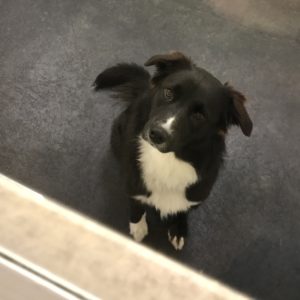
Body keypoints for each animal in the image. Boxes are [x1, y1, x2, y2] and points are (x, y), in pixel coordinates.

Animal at [92, 52, 252, 251]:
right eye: (168, 93)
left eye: (199, 115)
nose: (157, 134)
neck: (168, 160)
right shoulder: (133, 186)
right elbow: (136, 205)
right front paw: (138, 227)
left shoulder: (195, 196)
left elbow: (182, 209)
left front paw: (178, 229)